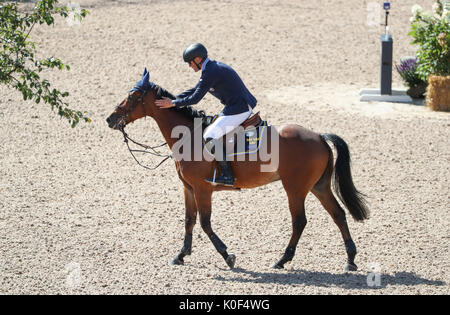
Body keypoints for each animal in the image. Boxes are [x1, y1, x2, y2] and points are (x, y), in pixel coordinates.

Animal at [106, 70, 370, 272]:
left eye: (133, 96)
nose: (110, 119)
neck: (188, 136)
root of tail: (319, 136)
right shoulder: (188, 188)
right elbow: (189, 221)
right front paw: (180, 255)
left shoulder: (202, 189)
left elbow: (205, 223)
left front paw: (228, 256)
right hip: (318, 186)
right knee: (338, 214)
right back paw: (350, 261)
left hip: (295, 188)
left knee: (300, 221)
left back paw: (282, 260)